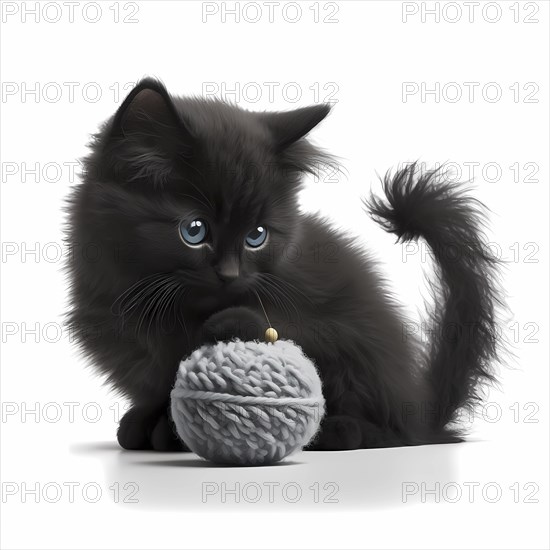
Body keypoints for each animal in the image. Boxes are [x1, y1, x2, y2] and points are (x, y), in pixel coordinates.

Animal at [67, 80, 502, 454]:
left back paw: (342, 431)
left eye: (256, 236)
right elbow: (153, 388)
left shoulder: (320, 318)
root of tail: (425, 408)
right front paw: (144, 423)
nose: (230, 275)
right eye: (194, 230)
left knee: (393, 429)